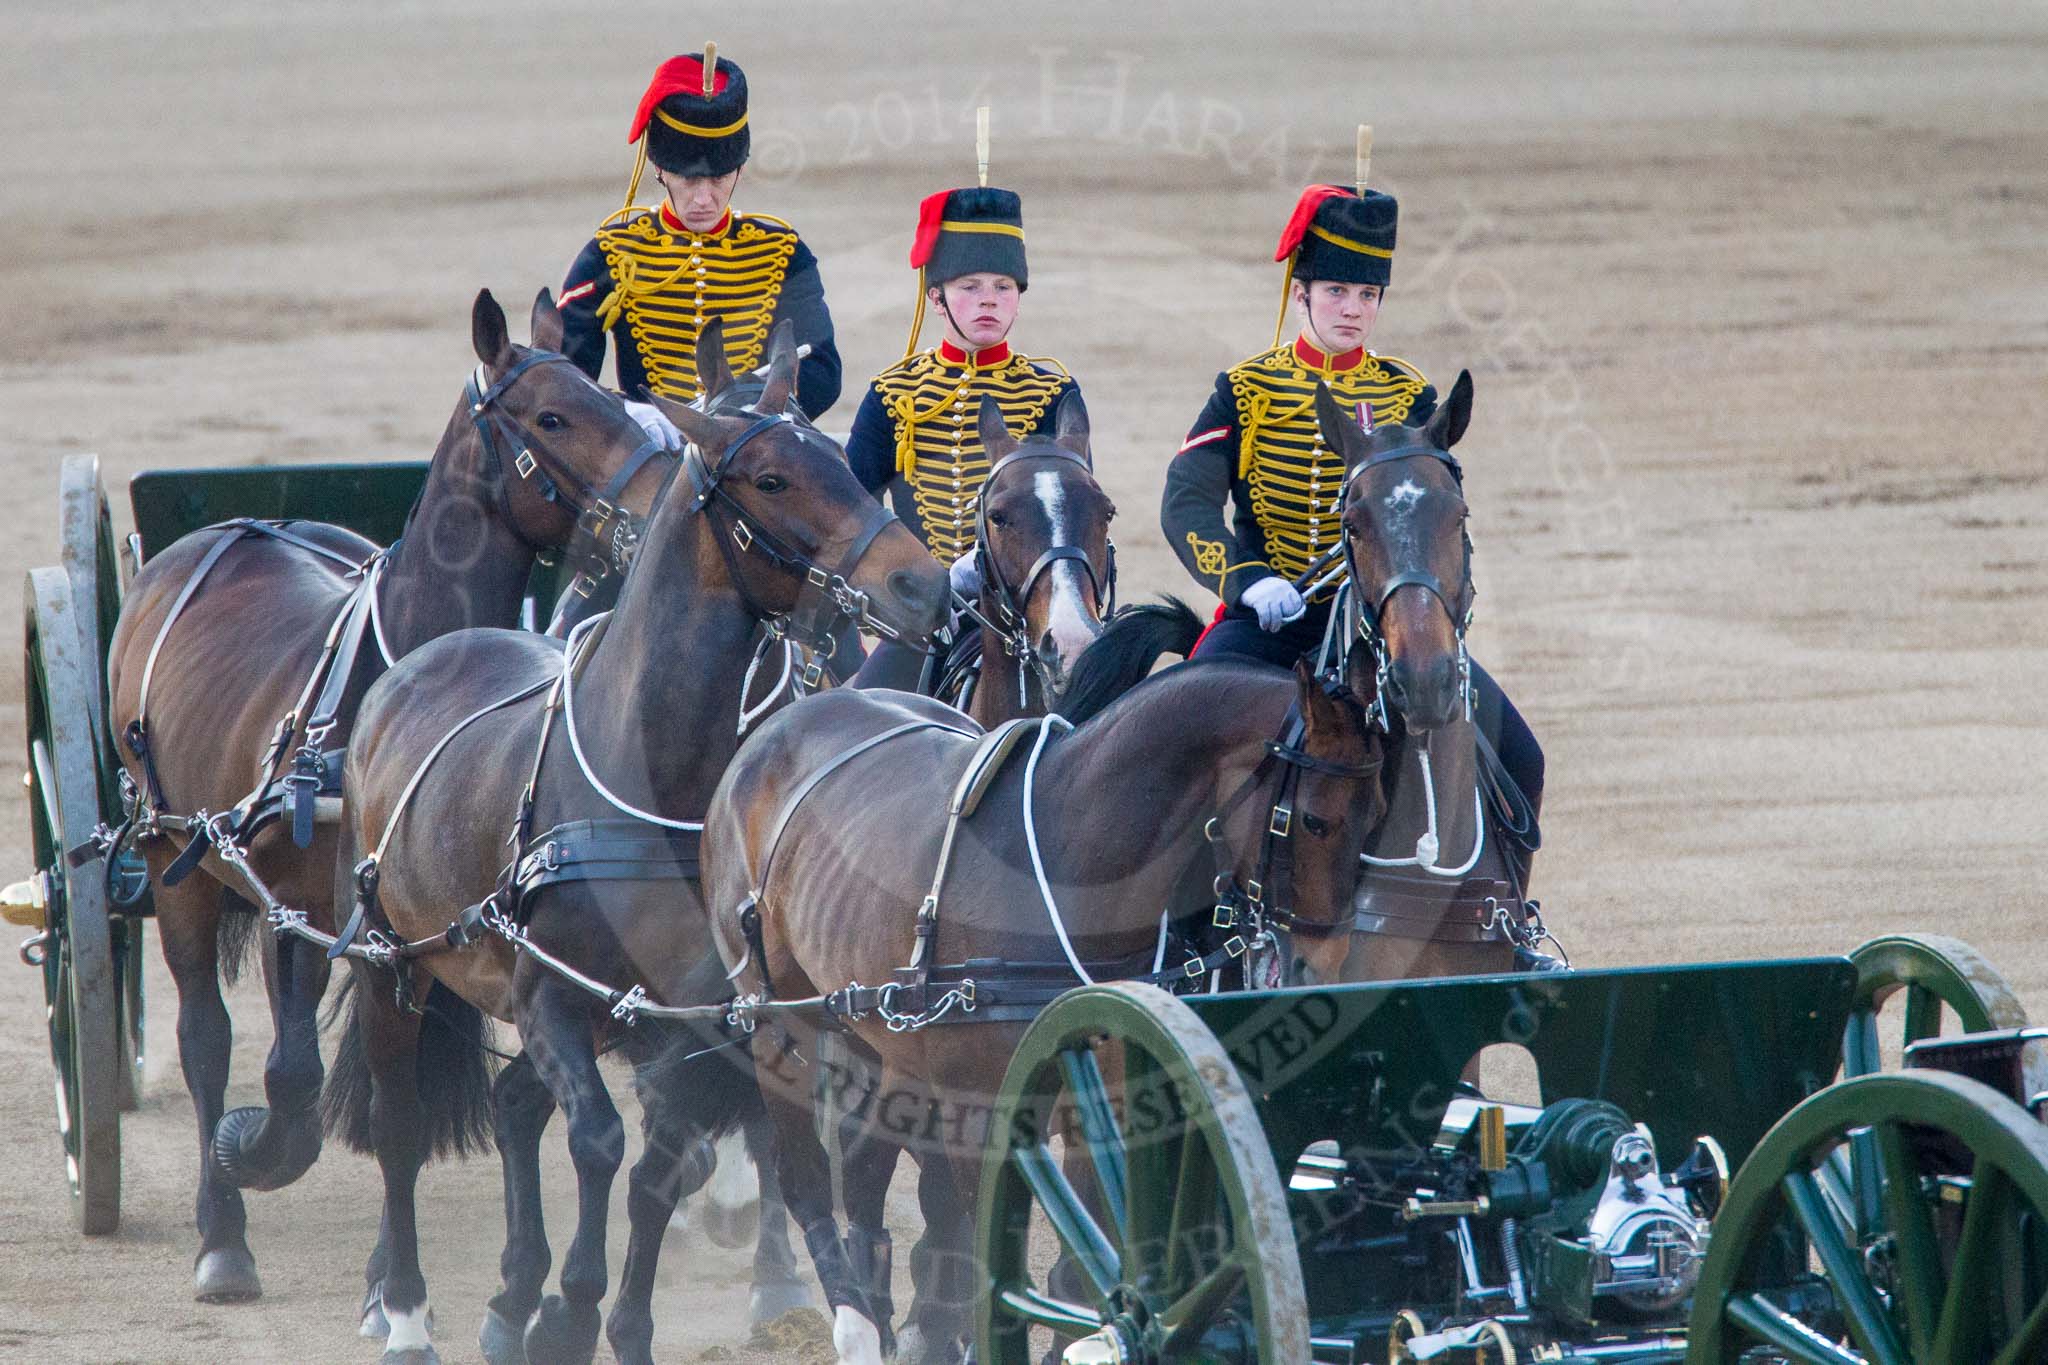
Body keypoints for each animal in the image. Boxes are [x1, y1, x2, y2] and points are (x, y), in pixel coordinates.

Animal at [101, 296, 671, 1301]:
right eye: (554, 416)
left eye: (608, 394)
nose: (674, 489)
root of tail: (227, 531)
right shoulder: (322, 908)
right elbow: (296, 1068)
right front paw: (256, 1164)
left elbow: (347, 1079)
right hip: (181, 863)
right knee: (205, 1036)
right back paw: (222, 1232)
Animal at [327, 325, 950, 1365]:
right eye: (773, 478)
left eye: (838, 456)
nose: (926, 583)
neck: (660, 780)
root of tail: (428, 658)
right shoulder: (549, 995)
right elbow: (601, 1144)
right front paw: (573, 1310)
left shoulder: (698, 1020)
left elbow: (663, 1163)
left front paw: (605, 1316)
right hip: (393, 961)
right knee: (400, 1121)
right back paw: (406, 1306)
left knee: (515, 1108)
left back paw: (510, 1296)